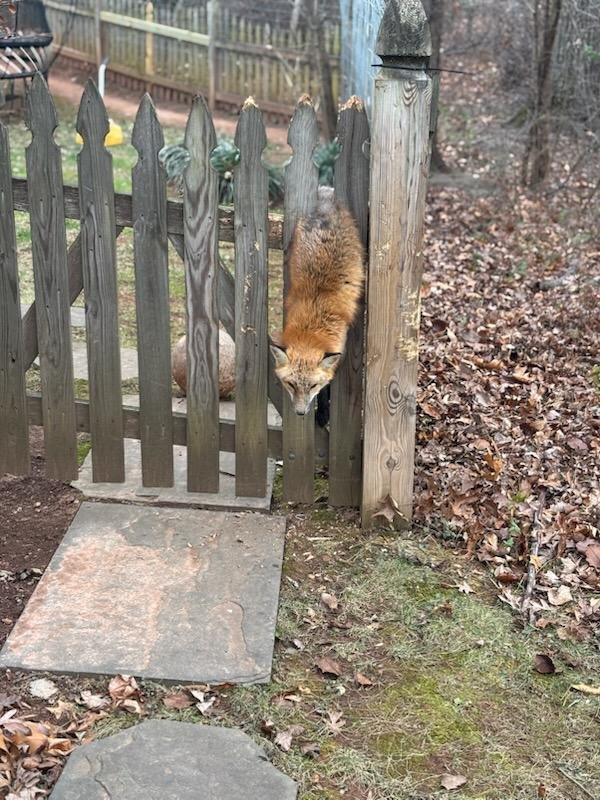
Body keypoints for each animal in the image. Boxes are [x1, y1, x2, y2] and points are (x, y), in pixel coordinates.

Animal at [270, 186, 364, 418]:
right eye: (291, 384)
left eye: (312, 385)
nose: (300, 413)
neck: (311, 324)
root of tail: (326, 200)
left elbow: (327, 386)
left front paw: (323, 412)